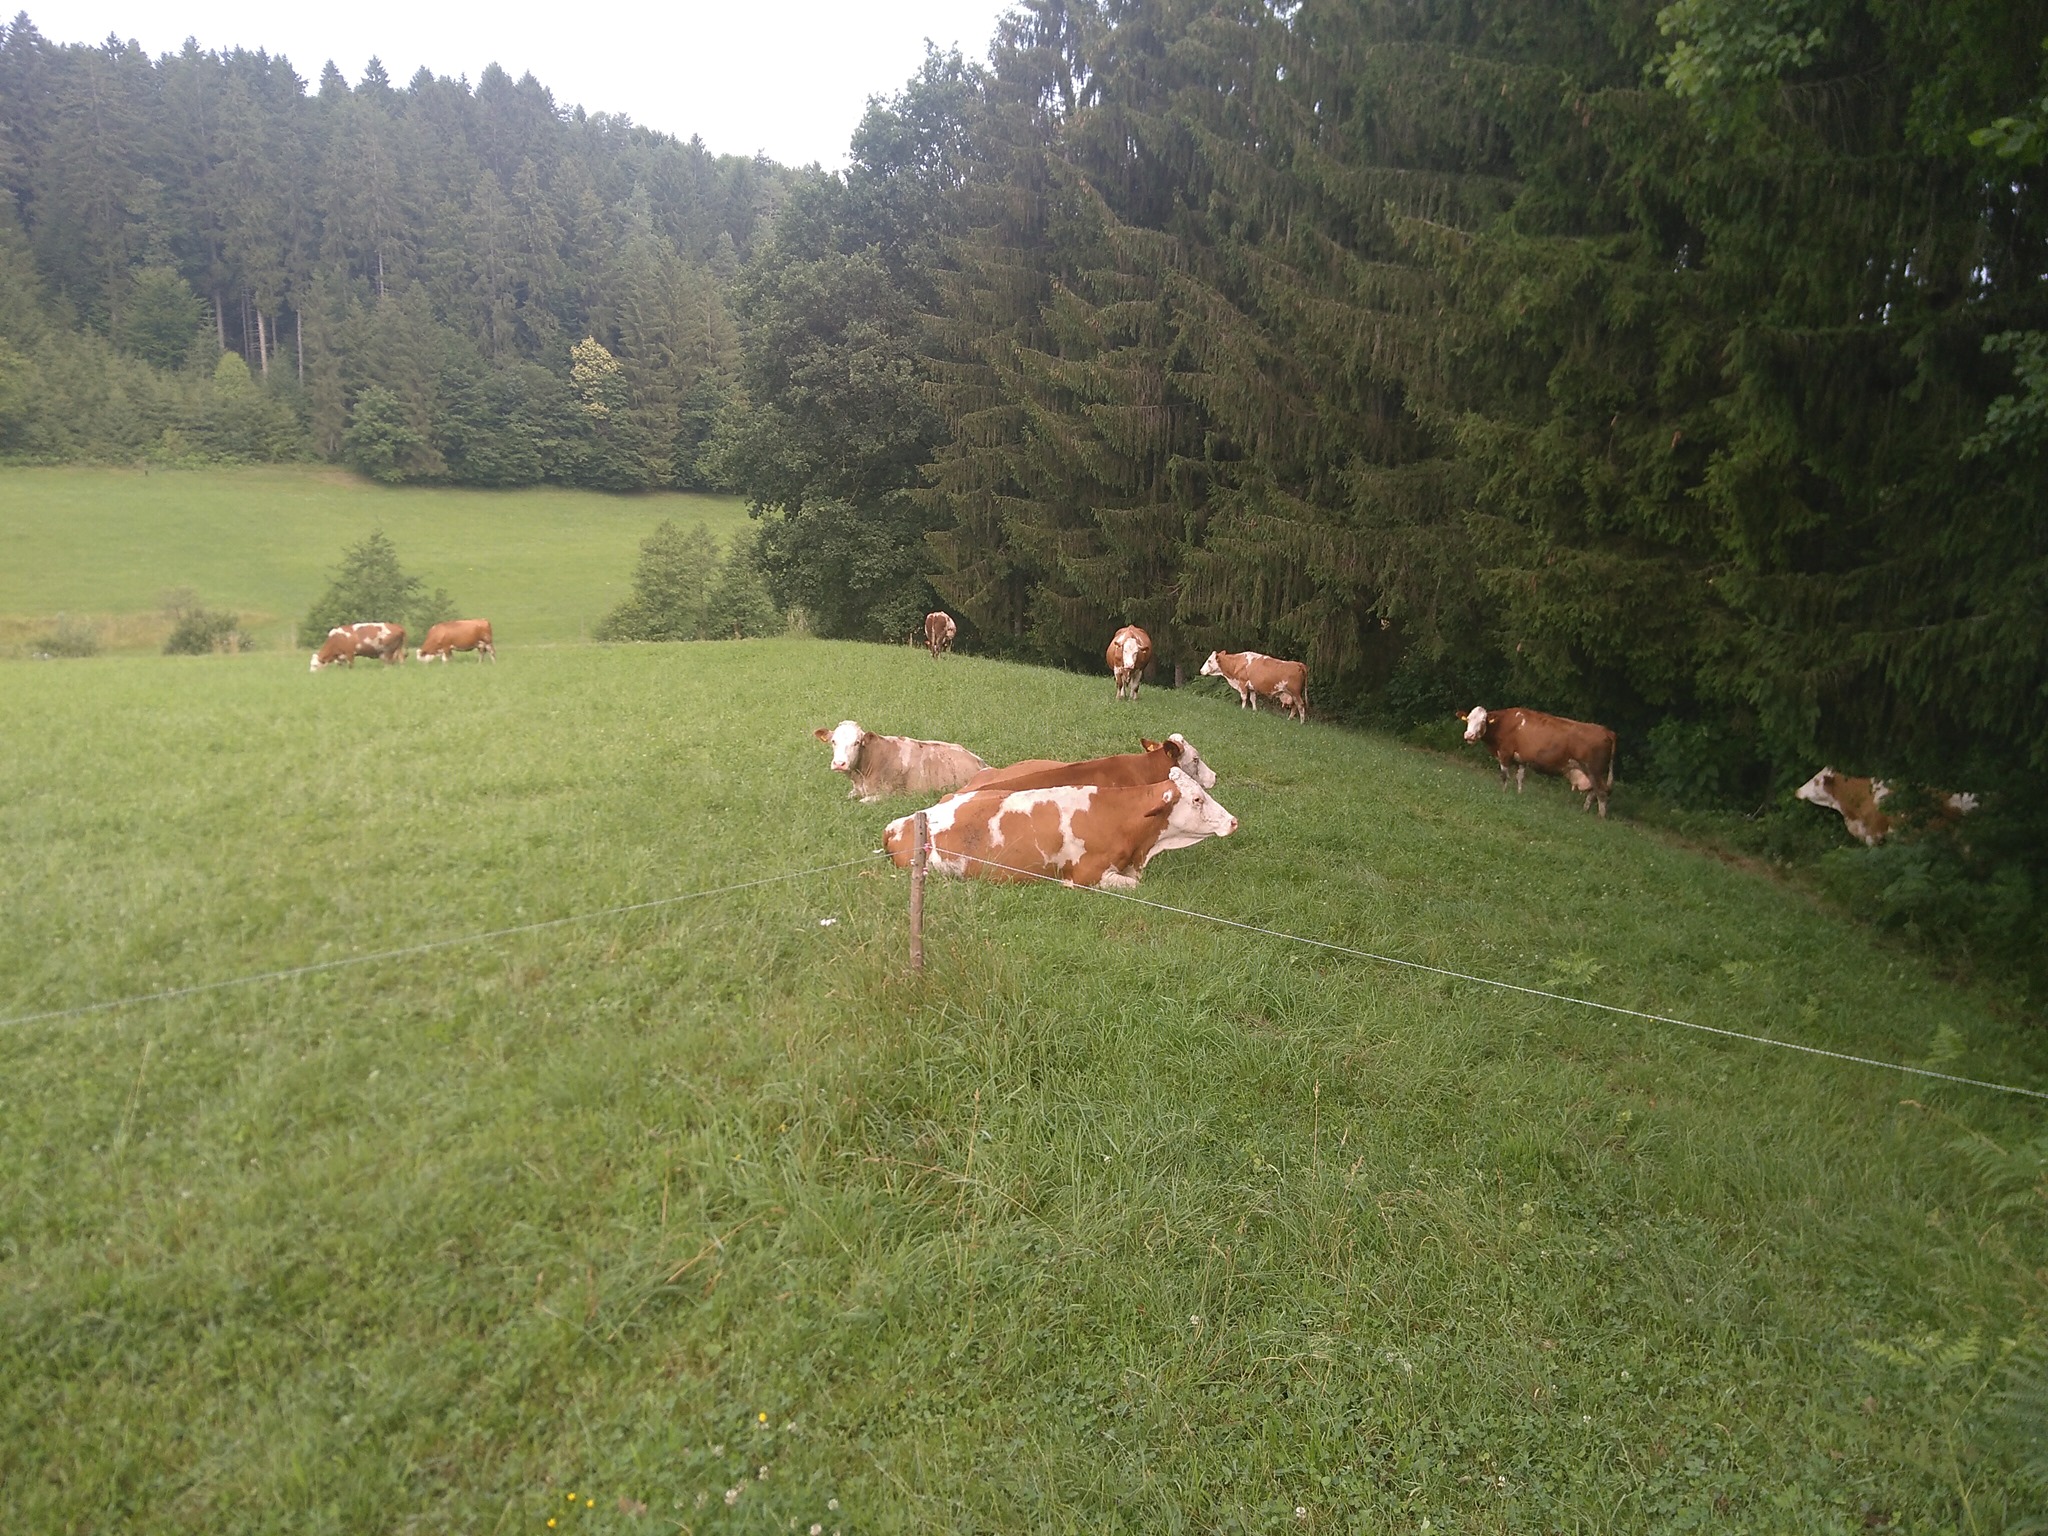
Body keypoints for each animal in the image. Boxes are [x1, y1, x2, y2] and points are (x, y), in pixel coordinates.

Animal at [814, 720, 988, 804]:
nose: (839, 763)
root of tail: (979, 761)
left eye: (857, 742)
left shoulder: (889, 795)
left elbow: (862, 802)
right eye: (833, 741)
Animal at [1460, 705, 1616, 818]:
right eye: (1468, 719)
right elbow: (1520, 777)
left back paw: (1600, 818)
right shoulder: (1522, 759)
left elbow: (1504, 776)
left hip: (1594, 770)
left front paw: (1503, 792)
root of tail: (1606, 730)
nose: (1469, 735)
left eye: (1482, 721)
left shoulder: (1505, 753)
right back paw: (1585, 811)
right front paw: (1519, 794)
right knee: (1593, 792)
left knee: (1602, 793)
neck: (1503, 723)